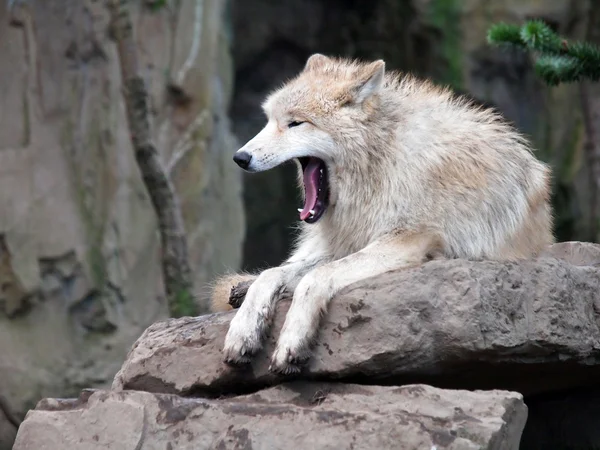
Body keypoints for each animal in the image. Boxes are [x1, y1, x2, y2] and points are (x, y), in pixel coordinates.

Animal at [213, 52, 556, 374]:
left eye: (295, 123)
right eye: (269, 120)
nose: (240, 157)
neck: (380, 161)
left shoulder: (405, 241)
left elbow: (315, 277)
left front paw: (292, 341)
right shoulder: (349, 240)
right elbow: (272, 275)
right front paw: (243, 331)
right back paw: (239, 290)